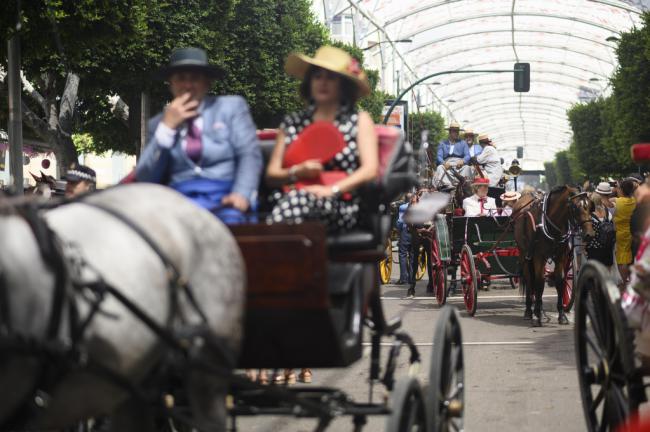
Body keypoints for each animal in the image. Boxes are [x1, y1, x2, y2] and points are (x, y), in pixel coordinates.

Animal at [512, 186, 592, 328]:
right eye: (575, 207)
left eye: (589, 206)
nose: (589, 235)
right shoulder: (539, 257)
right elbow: (539, 282)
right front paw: (536, 315)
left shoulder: (561, 256)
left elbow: (560, 280)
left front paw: (561, 315)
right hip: (524, 254)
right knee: (529, 279)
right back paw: (529, 311)